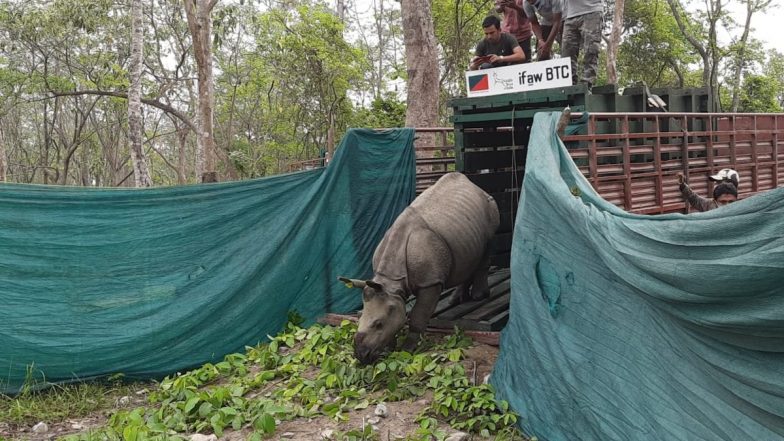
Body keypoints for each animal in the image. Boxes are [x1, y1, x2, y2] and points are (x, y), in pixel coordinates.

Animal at [339, 172, 500, 365]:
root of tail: (475, 186)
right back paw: (456, 300)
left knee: (487, 245)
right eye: (359, 317)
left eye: (379, 324)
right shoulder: (391, 291)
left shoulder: (430, 282)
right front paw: (389, 348)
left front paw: (408, 349)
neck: (390, 281)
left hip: (490, 206)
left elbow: (417, 316)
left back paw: (478, 297)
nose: (361, 356)